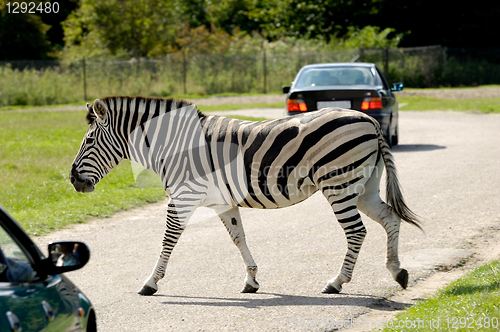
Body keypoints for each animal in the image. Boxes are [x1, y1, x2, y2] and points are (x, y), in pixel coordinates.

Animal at [70, 96, 420, 296]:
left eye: (89, 140)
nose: (73, 180)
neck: (174, 144)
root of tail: (369, 119)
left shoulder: (183, 196)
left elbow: (168, 239)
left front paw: (150, 283)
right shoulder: (222, 201)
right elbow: (238, 237)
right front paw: (251, 281)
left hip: (340, 184)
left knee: (356, 232)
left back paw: (336, 282)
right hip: (364, 187)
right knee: (390, 218)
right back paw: (397, 271)